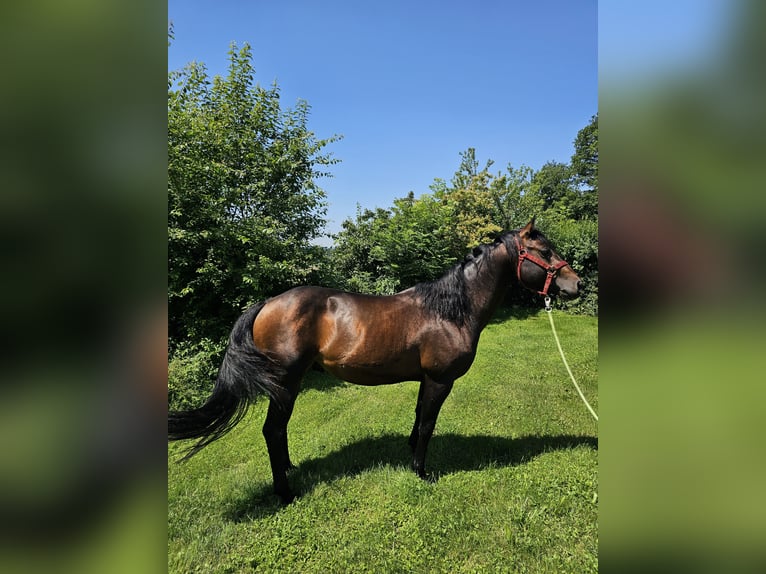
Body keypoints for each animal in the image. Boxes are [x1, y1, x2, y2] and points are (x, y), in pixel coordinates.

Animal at [170, 218, 584, 502]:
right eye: (544, 252)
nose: (576, 284)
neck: (450, 311)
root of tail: (267, 304)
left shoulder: (426, 380)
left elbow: (418, 418)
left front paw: (410, 453)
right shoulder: (440, 380)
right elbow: (429, 424)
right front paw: (421, 472)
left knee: (279, 431)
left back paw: (289, 470)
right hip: (285, 383)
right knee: (272, 430)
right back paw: (285, 492)